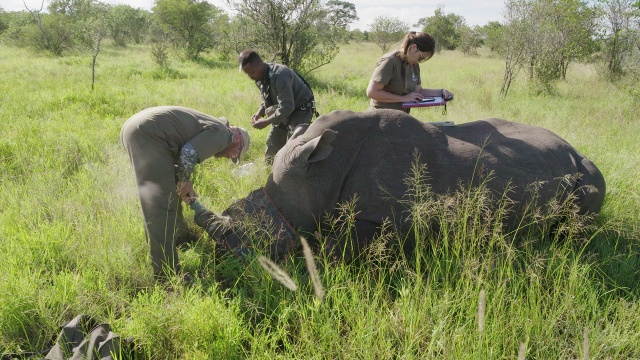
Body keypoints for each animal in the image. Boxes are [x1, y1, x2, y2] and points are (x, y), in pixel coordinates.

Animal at [192, 109, 608, 262]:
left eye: (256, 230)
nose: (221, 251)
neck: (317, 174)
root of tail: (579, 151)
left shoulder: (384, 221)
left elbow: (332, 250)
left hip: (588, 175)